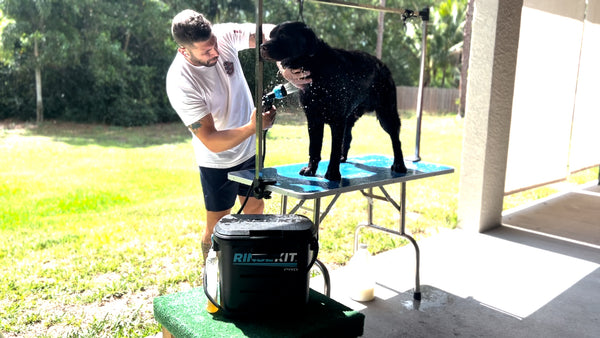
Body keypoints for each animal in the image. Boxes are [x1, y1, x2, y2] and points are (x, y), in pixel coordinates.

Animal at [262, 21, 408, 181]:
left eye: (283, 35)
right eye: (270, 35)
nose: (262, 46)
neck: (315, 66)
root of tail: (383, 65)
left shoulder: (337, 120)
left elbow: (334, 149)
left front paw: (332, 173)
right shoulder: (314, 119)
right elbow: (314, 148)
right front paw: (310, 169)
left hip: (387, 114)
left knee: (396, 140)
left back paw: (399, 165)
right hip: (350, 116)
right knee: (348, 137)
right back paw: (343, 158)